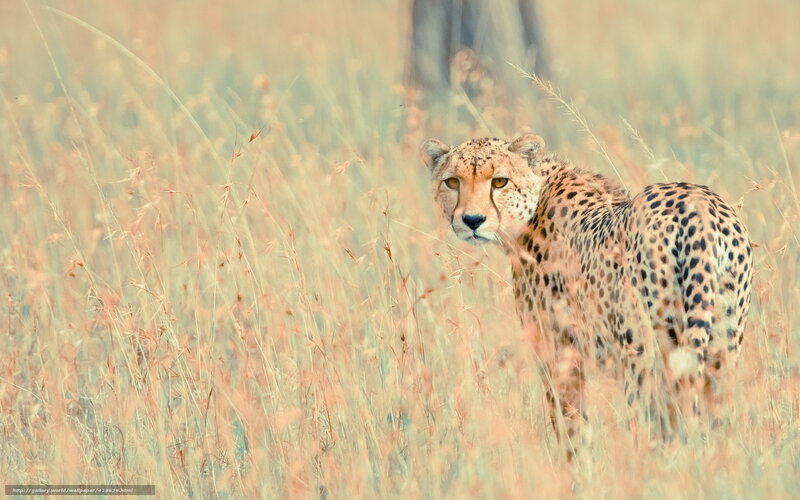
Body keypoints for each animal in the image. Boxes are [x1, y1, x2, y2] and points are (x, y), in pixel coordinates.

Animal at [421, 134, 753, 455]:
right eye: (452, 182)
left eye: (500, 181)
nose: (472, 220)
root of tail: (698, 205)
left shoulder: (560, 354)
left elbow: (569, 427)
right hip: (722, 344)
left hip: (643, 350)